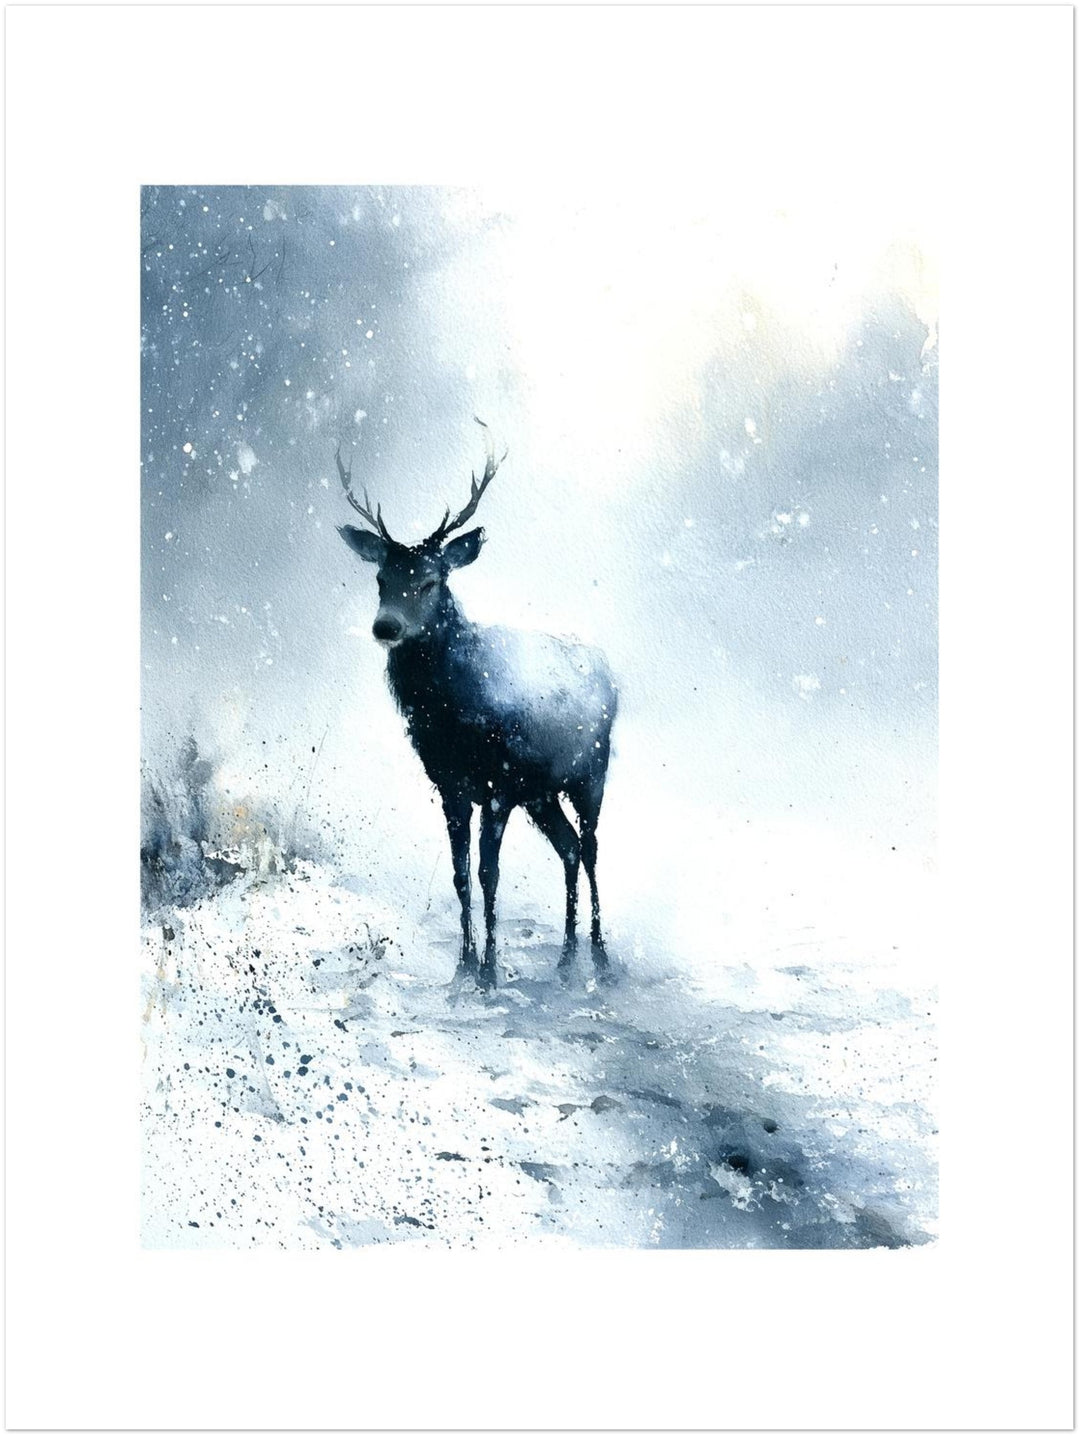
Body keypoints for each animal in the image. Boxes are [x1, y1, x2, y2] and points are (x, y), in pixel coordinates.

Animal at [336, 418, 617, 989]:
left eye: (431, 579)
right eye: (380, 578)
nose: (385, 627)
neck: (452, 717)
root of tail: (614, 676)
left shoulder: (499, 784)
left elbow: (490, 873)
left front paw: (489, 969)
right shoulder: (450, 785)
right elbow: (461, 874)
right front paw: (462, 966)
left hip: (591, 772)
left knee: (593, 847)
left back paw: (600, 954)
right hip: (542, 793)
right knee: (569, 848)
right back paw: (566, 956)